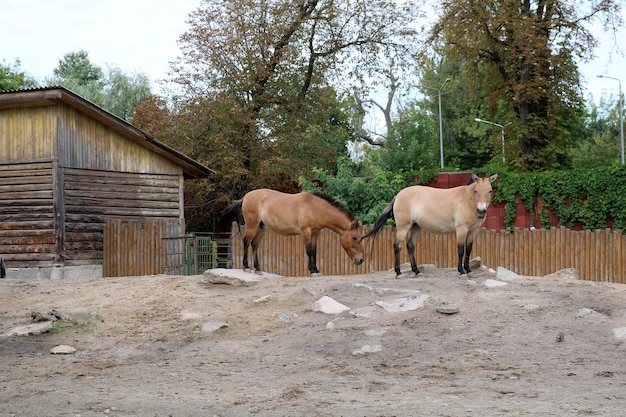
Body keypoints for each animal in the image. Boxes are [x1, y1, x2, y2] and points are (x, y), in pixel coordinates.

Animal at [219, 189, 366, 274]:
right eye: (354, 237)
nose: (361, 260)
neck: (316, 208)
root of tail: (245, 197)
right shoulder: (306, 232)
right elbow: (309, 251)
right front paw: (312, 270)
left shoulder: (316, 233)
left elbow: (315, 251)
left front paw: (316, 269)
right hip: (252, 225)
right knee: (246, 242)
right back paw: (246, 266)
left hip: (261, 227)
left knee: (254, 244)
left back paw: (258, 269)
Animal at [360, 173, 498, 276]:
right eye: (476, 191)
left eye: (490, 191)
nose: (481, 211)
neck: (467, 200)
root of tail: (397, 196)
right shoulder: (461, 229)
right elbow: (460, 250)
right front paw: (461, 270)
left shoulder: (473, 230)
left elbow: (468, 250)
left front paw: (468, 269)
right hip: (403, 228)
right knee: (397, 246)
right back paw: (398, 272)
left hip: (416, 227)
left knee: (410, 246)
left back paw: (416, 271)